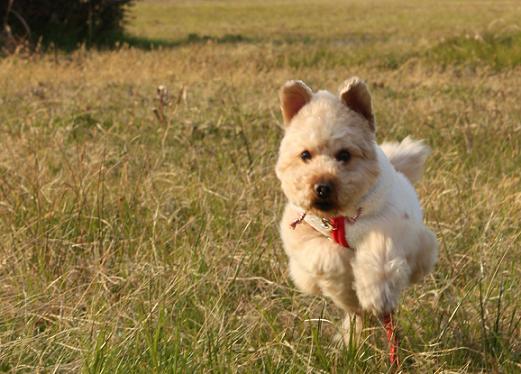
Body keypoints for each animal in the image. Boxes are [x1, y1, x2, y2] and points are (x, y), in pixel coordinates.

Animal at [274, 77, 436, 364]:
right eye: (305, 155)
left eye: (344, 155)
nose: (322, 187)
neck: (339, 220)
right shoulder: (301, 236)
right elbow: (324, 255)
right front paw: (342, 273)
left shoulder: (394, 228)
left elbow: (380, 255)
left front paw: (376, 294)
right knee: (355, 314)